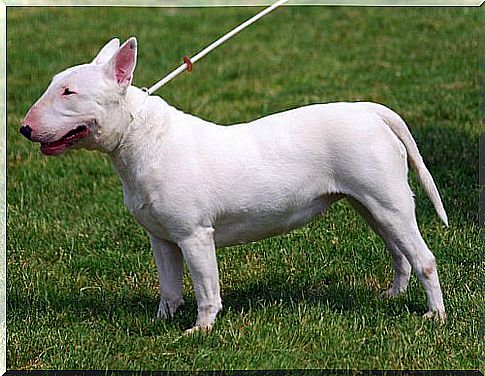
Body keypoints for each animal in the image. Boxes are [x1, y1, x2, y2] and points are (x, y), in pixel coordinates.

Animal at [20, 37, 448, 332]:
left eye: (69, 92)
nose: (24, 129)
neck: (139, 136)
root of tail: (370, 111)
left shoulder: (194, 235)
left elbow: (206, 288)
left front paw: (201, 329)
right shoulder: (162, 238)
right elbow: (169, 287)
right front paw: (161, 322)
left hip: (388, 201)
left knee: (423, 258)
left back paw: (435, 316)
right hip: (370, 204)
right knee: (399, 253)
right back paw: (392, 295)